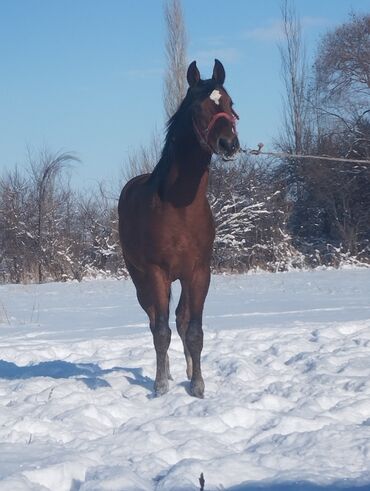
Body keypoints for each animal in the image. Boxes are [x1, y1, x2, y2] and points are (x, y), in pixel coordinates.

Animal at [118, 60, 240, 400]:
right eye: (199, 108)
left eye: (230, 103)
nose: (229, 144)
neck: (179, 209)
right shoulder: (157, 272)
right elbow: (161, 331)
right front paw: (160, 385)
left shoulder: (199, 272)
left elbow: (193, 329)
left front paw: (197, 384)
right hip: (141, 280)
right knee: (154, 321)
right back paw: (168, 373)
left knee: (181, 319)